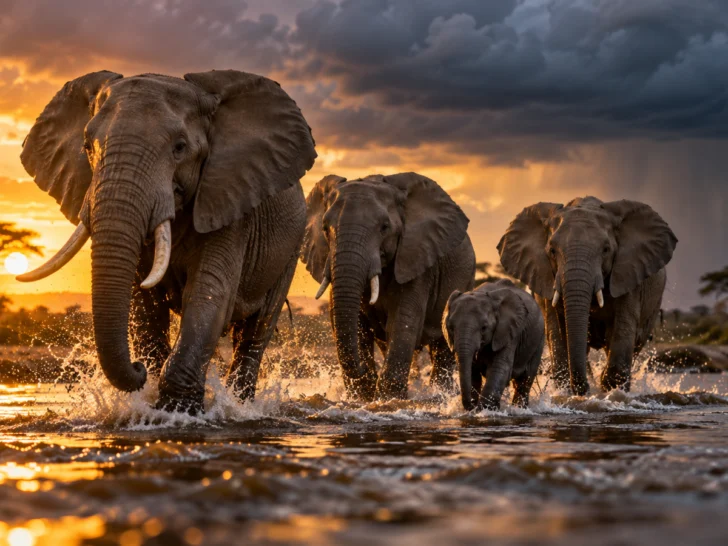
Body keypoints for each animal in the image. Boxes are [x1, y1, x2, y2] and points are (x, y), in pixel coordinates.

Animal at [17, 70, 317, 413]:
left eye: (180, 147)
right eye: (87, 147)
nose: (138, 369)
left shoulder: (228, 202)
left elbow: (209, 294)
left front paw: (178, 412)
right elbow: (145, 306)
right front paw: (150, 397)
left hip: (290, 249)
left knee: (256, 331)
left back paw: (241, 405)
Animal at [301, 173, 475, 401]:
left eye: (384, 227)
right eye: (324, 227)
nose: (365, 371)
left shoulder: (416, 259)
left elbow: (403, 320)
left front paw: (388, 398)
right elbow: (357, 325)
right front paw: (364, 396)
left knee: (442, 349)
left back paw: (440, 394)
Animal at [443, 279, 544, 410]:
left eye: (484, 328)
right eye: (450, 328)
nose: (471, 405)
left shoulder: (508, 333)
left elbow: (500, 368)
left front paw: (484, 409)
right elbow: (472, 371)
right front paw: (477, 408)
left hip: (539, 340)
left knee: (525, 381)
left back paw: (520, 409)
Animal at [497, 197, 677, 395]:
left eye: (606, 249)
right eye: (552, 250)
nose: (583, 389)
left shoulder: (629, 275)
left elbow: (623, 331)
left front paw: (610, 391)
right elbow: (556, 333)